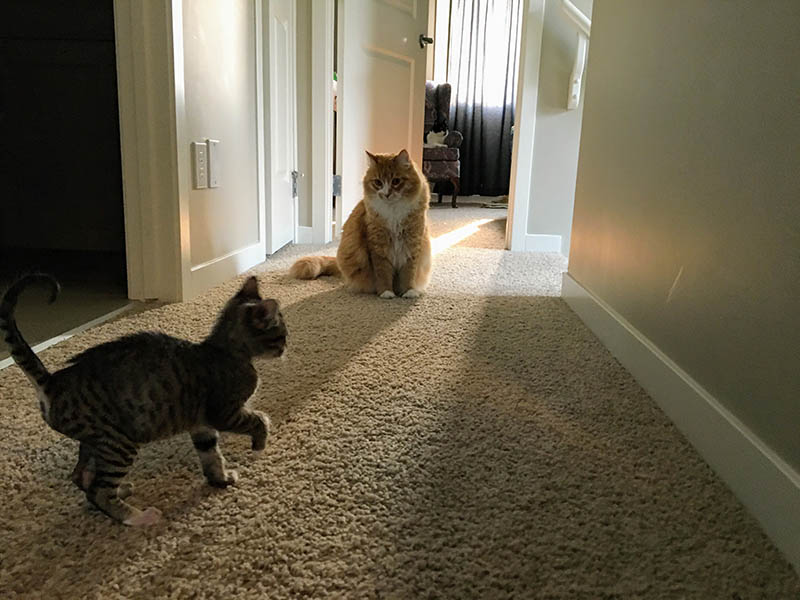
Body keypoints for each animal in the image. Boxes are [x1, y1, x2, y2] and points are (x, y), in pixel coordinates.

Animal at [0, 274, 288, 528]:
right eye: (282, 334)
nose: (287, 347)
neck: (224, 350)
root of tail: (53, 382)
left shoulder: (201, 424)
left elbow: (211, 455)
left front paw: (220, 480)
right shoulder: (223, 412)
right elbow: (258, 419)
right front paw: (259, 444)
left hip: (97, 440)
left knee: (82, 477)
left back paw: (122, 491)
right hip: (119, 442)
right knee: (99, 490)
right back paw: (137, 517)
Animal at [290, 149, 432, 298]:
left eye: (396, 181)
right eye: (378, 182)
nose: (386, 194)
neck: (394, 212)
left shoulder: (412, 244)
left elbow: (409, 273)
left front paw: (409, 292)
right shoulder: (378, 247)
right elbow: (383, 274)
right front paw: (387, 293)